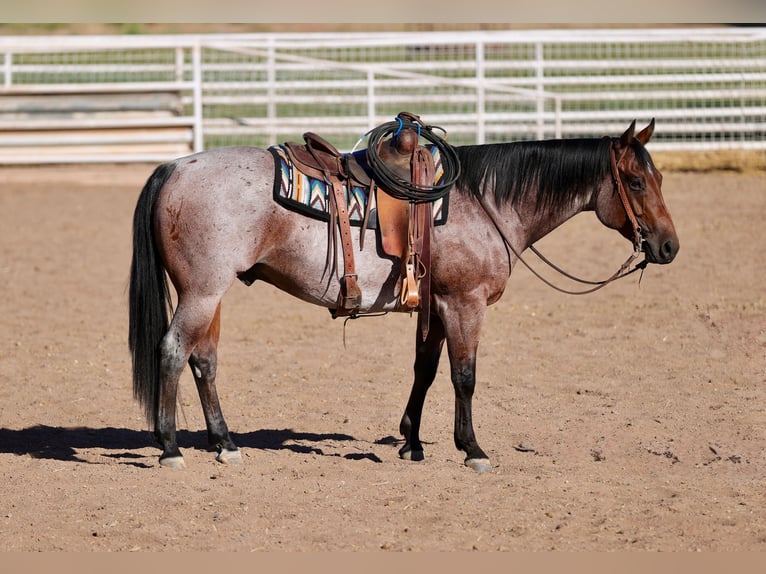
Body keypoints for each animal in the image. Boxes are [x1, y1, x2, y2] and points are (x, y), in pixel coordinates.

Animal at [129, 119, 679, 472]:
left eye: (658, 176)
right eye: (634, 180)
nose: (669, 246)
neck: (484, 202)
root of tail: (175, 166)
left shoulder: (434, 304)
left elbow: (426, 371)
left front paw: (412, 442)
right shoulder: (464, 303)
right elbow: (464, 377)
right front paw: (472, 449)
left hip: (209, 294)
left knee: (204, 360)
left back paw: (225, 443)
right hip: (202, 292)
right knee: (173, 352)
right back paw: (170, 448)